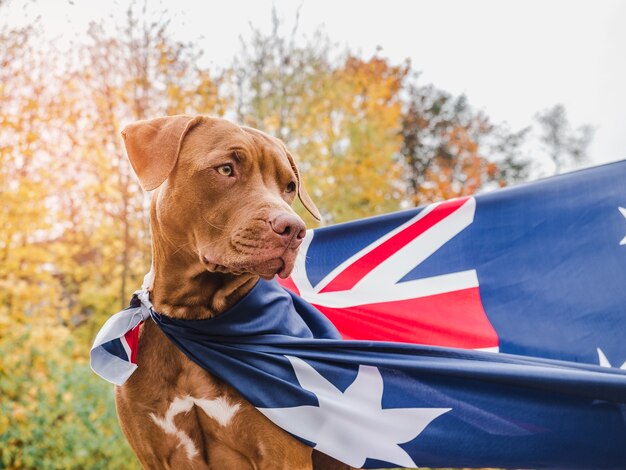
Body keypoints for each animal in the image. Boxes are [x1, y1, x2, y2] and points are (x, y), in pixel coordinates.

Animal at [115, 114, 348, 470]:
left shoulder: (281, 455)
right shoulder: (153, 454)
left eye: (289, 186)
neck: (194, 317)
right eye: (226, 169)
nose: (294, 229)